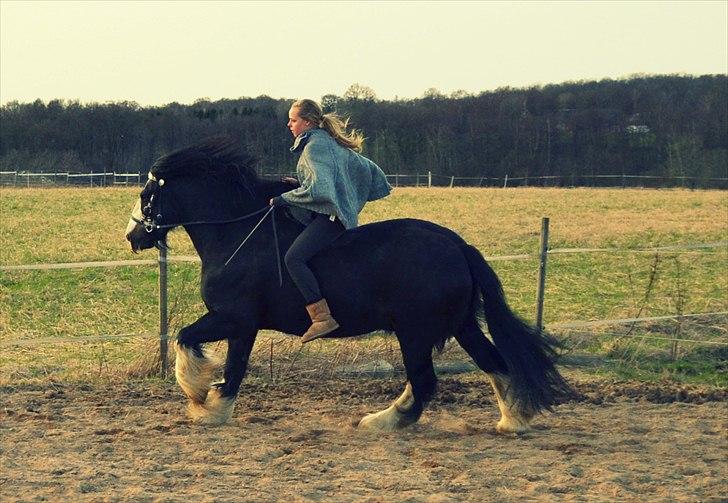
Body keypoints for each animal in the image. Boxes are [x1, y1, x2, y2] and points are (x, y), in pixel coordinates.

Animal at [125, 137, 572, 434]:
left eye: (147, 196)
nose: (132, 237)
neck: (237, 234)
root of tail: (457, 245)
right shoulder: (241, 326)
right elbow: (230, 367)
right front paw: (214, 406)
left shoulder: (234, 318)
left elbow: (191, 342)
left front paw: (202, 399)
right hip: (457, 325)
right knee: (489, 363)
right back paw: (512, 420)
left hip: (415, 331)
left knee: (426, 381)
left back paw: (382, 421)